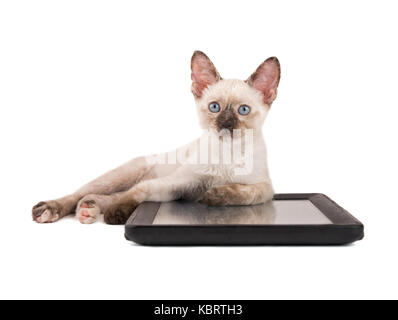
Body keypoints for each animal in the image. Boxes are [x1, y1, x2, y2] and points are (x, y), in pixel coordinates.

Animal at [31, 50, 280, 225]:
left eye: (243, 110)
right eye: (214, 107)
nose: (226, 125)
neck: (227, 154)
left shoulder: (264, 189)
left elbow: (246, 193)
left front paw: (214, 196)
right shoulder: (179, 185)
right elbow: (138, 192)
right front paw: (116, 215)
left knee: (102, 195)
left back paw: (88, 209)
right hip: (120, 175)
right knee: (82, 193)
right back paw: (51, 210)